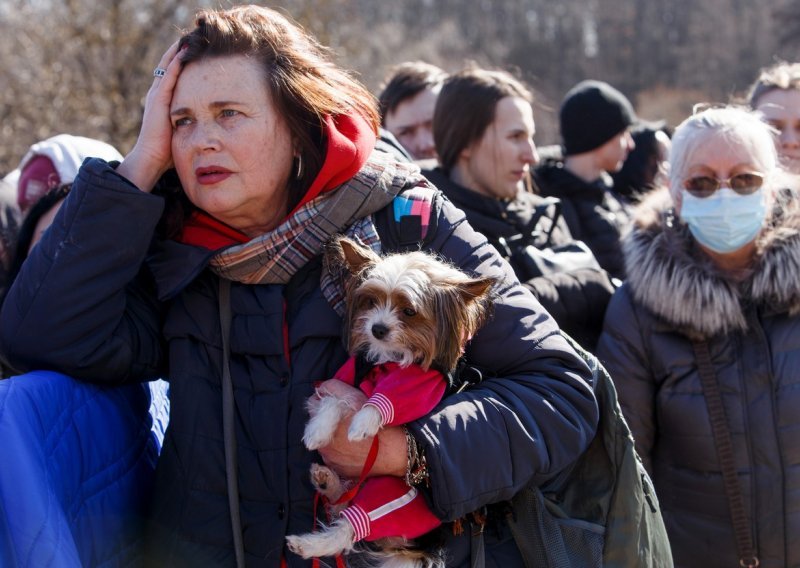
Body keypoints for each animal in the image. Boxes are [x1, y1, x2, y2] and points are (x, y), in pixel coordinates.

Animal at [288, 236, 496, 568]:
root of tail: (415, 546)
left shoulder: (421, 387)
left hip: (393, 495)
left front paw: (361, 424)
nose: (377, 329)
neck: (385, 363)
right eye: (371, 301)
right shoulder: (342, 381)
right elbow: (336, 400)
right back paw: (326, 481)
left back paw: (308, 544)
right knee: (340, 506)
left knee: (348, 528)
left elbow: (383, 402)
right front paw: (317, 431)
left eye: (409, 311)